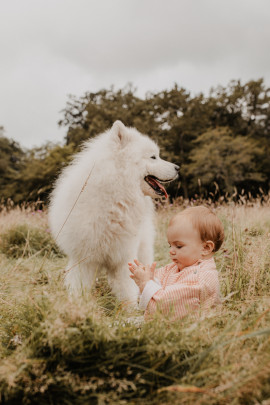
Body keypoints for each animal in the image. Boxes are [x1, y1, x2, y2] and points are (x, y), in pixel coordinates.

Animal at [48, 120, 179, 304]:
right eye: (153, 157)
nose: (178, 167)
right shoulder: (84, 259)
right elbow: (79, 287)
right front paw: (78, 304)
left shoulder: (123, 257)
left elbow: (127, 289)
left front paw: (130, 309)